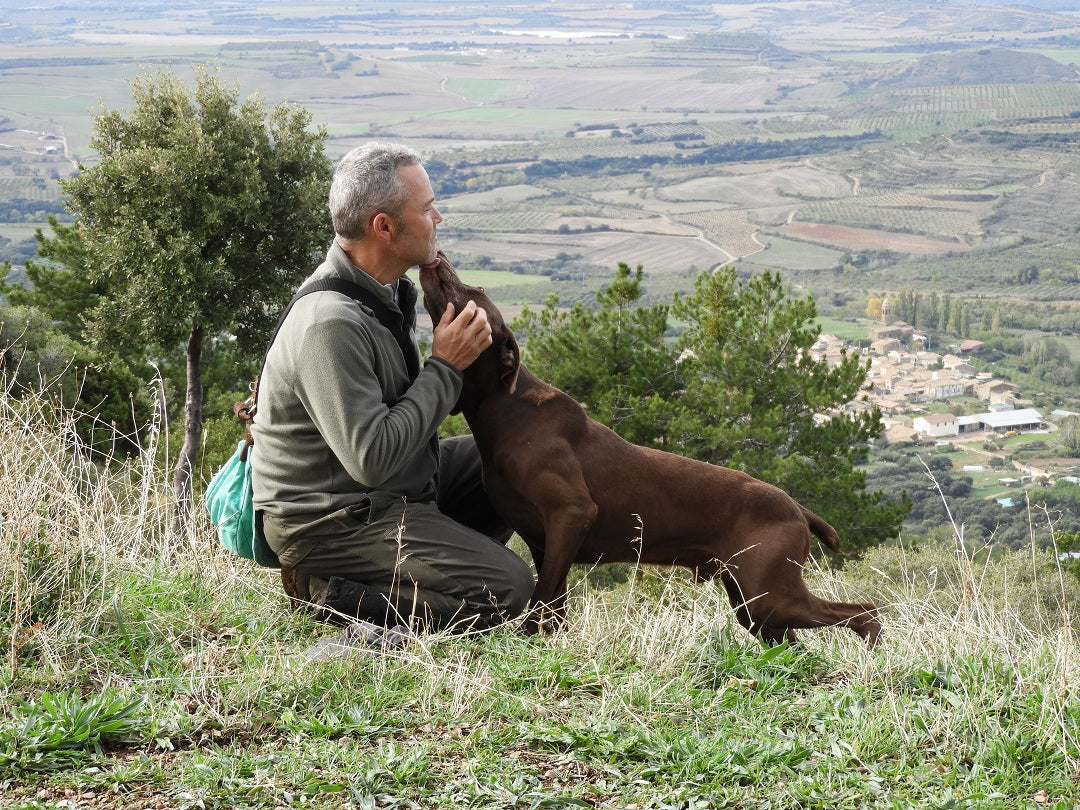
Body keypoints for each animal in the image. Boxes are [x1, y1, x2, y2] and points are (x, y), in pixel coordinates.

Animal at [416, 253, 881, 648]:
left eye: (475, 291)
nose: (438, 257)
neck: (505, 409)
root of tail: (798, 509)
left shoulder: (571, 515)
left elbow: (541, 599)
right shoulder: (547, 543)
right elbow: (553, 605)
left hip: (770, 592)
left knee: (865, 612)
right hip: (756, 604)